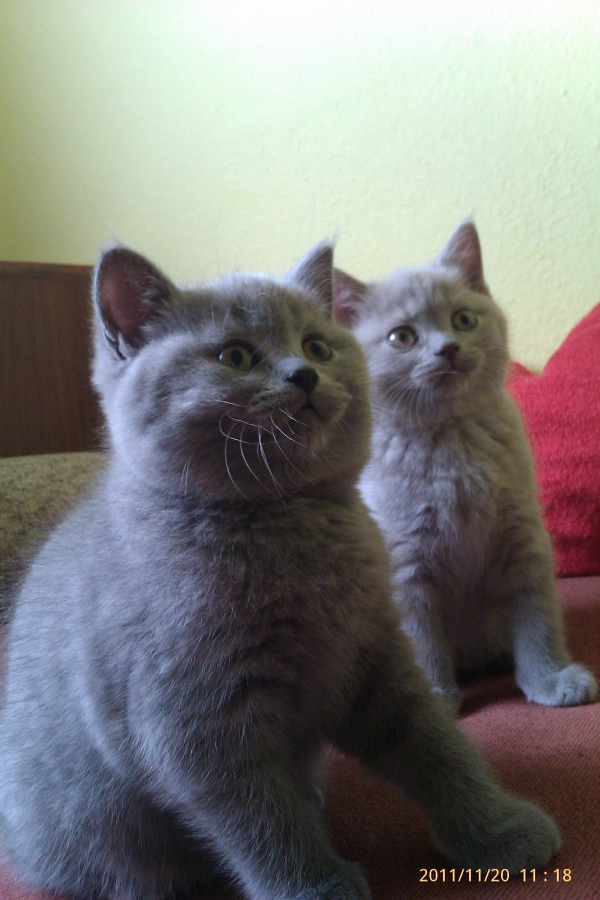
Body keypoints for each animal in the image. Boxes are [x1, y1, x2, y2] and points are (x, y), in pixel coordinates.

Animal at [0, 241, 561, 900]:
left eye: (317, 346)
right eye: (235, 356)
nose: (304, 374)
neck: (289, 523)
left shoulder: (376, 654)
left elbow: (436, 748)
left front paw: (499, 830)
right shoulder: (196, 723)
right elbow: (263, 821)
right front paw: (317, 888)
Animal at [333, 220, 598, 716]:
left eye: (463, 320)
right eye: (402, 337)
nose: (448, 348)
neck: (452, 441)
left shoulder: (523, 536)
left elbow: (538, 618)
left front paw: (549, 678)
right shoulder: (405, 560)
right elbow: (421, 638)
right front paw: (435, 700)